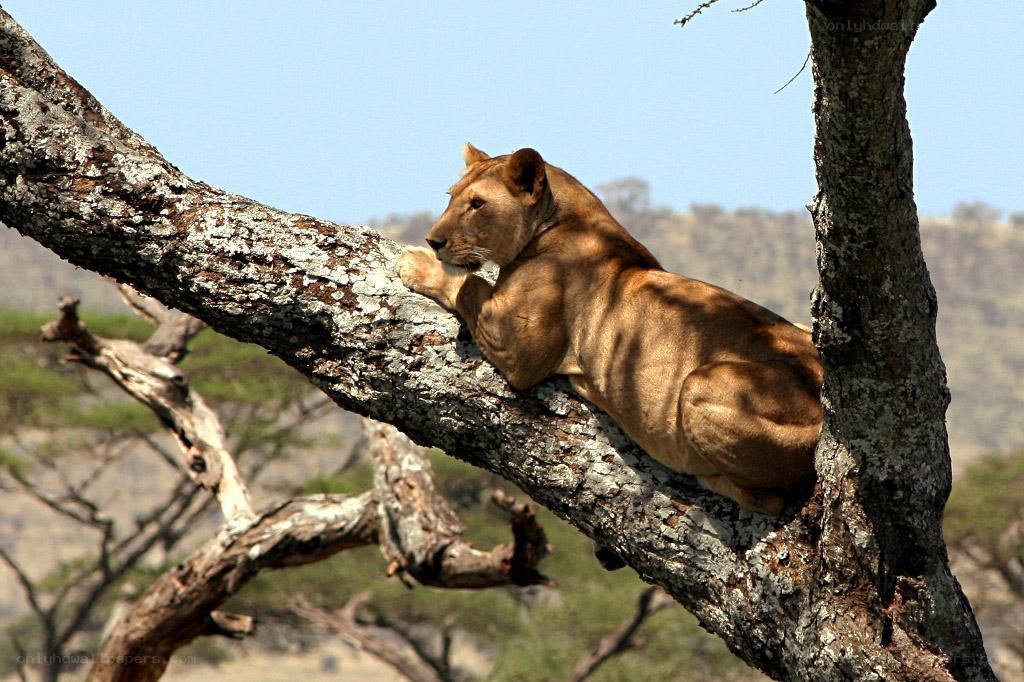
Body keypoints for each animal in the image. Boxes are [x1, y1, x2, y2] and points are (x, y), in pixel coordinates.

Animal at [398, 145, 822, 515]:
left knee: (771, 498)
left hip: (700, 383)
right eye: (451, 197)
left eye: (477, 204)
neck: (556, 219)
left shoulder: (522, 352)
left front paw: (415, 263)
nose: (433, 240)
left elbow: (468, 285)